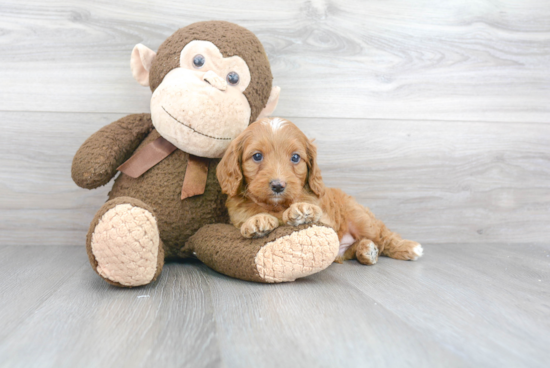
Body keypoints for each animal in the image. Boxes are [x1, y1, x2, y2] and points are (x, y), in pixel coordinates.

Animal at [218, 118, 424, 264]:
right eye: (257, 156)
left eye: (295, 158)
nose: (278, 186)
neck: (276, 206)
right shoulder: (237, 214)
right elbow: (251, 215)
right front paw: (257, 220)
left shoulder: (326, 219)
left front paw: (300, 210)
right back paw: (366, 250)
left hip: (361, 218)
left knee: (384, 236)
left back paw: (408, 247)